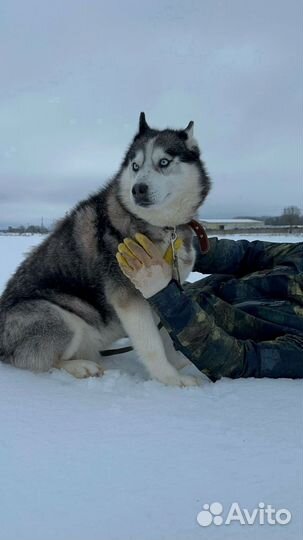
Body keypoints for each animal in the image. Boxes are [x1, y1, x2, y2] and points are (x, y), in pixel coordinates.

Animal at [0, 114, 210, 384]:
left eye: (164, 162)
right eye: (135, 166)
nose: (137, 189)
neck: (162, 227)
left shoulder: (163, 288)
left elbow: (169, 330)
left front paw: (179, 362)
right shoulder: (128, 296)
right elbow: (152, 344)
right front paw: (171, 379)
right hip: (57, 316)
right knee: (44, 361)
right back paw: (81, 367)